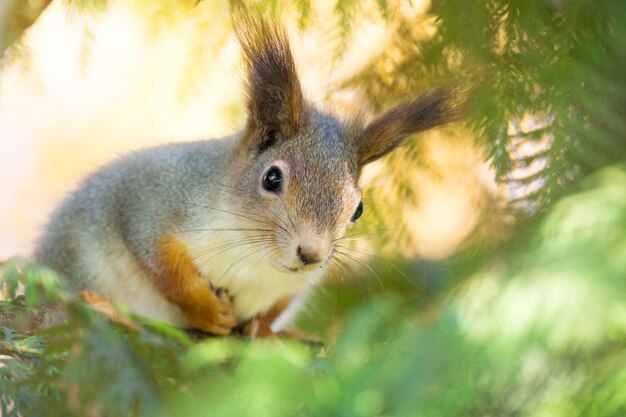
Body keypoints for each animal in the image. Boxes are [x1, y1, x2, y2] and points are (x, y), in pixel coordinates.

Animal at [34, 13, 464, 336]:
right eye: (271, 179)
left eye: (357, 209)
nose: (311, 254)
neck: (254, 255)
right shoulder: (151, 199)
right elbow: (161, 260)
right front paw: (207, 310)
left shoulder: (297, 287)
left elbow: (276, 307)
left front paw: (261, 330)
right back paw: (101, 306)